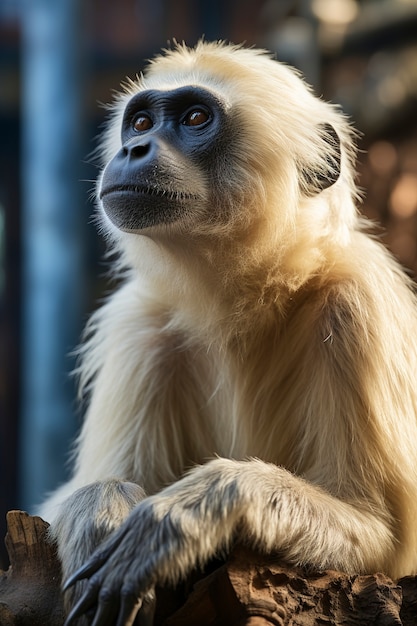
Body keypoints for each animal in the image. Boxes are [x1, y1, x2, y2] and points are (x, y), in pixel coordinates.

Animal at [38, 41, 417, 620]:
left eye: (195, 119)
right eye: (141, 123)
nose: (135, 149)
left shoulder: (360, 304)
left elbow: (382, 535)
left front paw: (187, 513)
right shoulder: (140, 328)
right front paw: (100, 509)